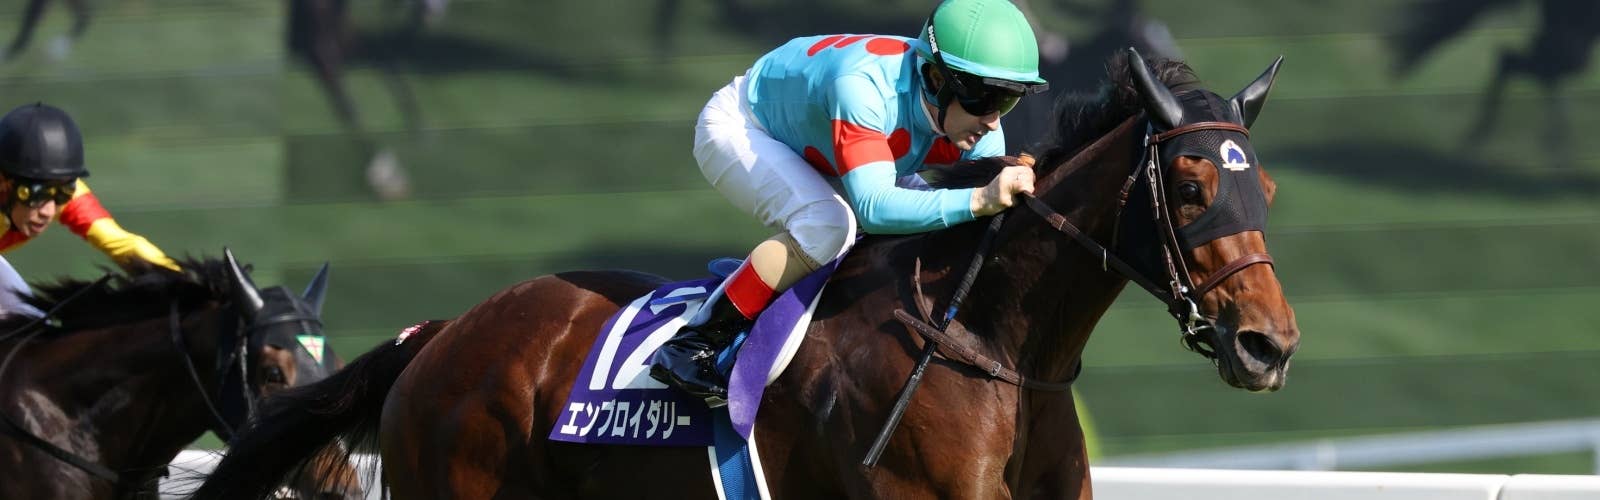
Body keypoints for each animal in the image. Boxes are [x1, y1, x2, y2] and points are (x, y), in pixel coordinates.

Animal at [189, 48, 1299, 499]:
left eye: (1270, 188)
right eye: (1192, 183)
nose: (1268, 344)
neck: (987, 343)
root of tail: (440, 336)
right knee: (817, 217)